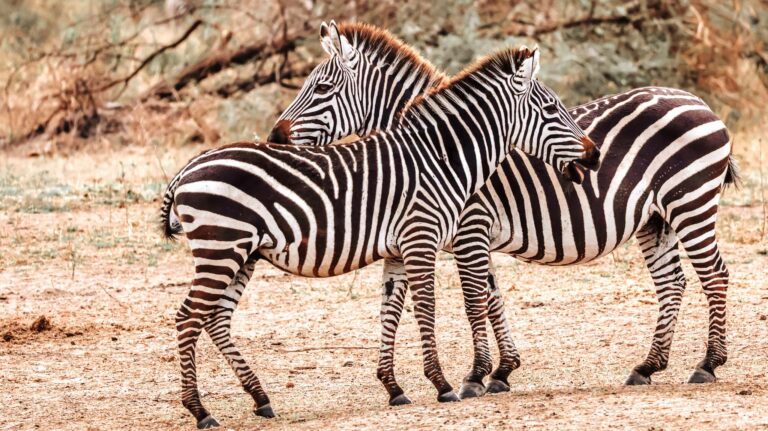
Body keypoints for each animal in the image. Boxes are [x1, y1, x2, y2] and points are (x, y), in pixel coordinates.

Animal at [160, 27, 598, 428]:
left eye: (321, 86)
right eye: (551, 110)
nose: (593, 155)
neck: (440, 157)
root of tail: (187, 167)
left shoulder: (400, 248)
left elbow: (392, 309)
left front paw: (395, 388)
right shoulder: (424, 237)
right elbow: (431, 306)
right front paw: (445, 384)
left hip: (242, 253)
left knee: (215, 318)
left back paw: (260, 398)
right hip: (222, 248)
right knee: (187, 317)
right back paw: (201, 412)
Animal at [270, 22, 737, 401]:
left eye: (321, 89)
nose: (274, 138)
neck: (440, 150)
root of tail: (697, 101)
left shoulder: (470, 228)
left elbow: (475, 300)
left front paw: (475, 376)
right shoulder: (470, 236)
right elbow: (492, 297)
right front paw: (502, 371)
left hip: (690, 201)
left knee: (714, 274)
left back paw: (708, 364)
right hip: (656, 218)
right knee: (672, 282)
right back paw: (649, 366)